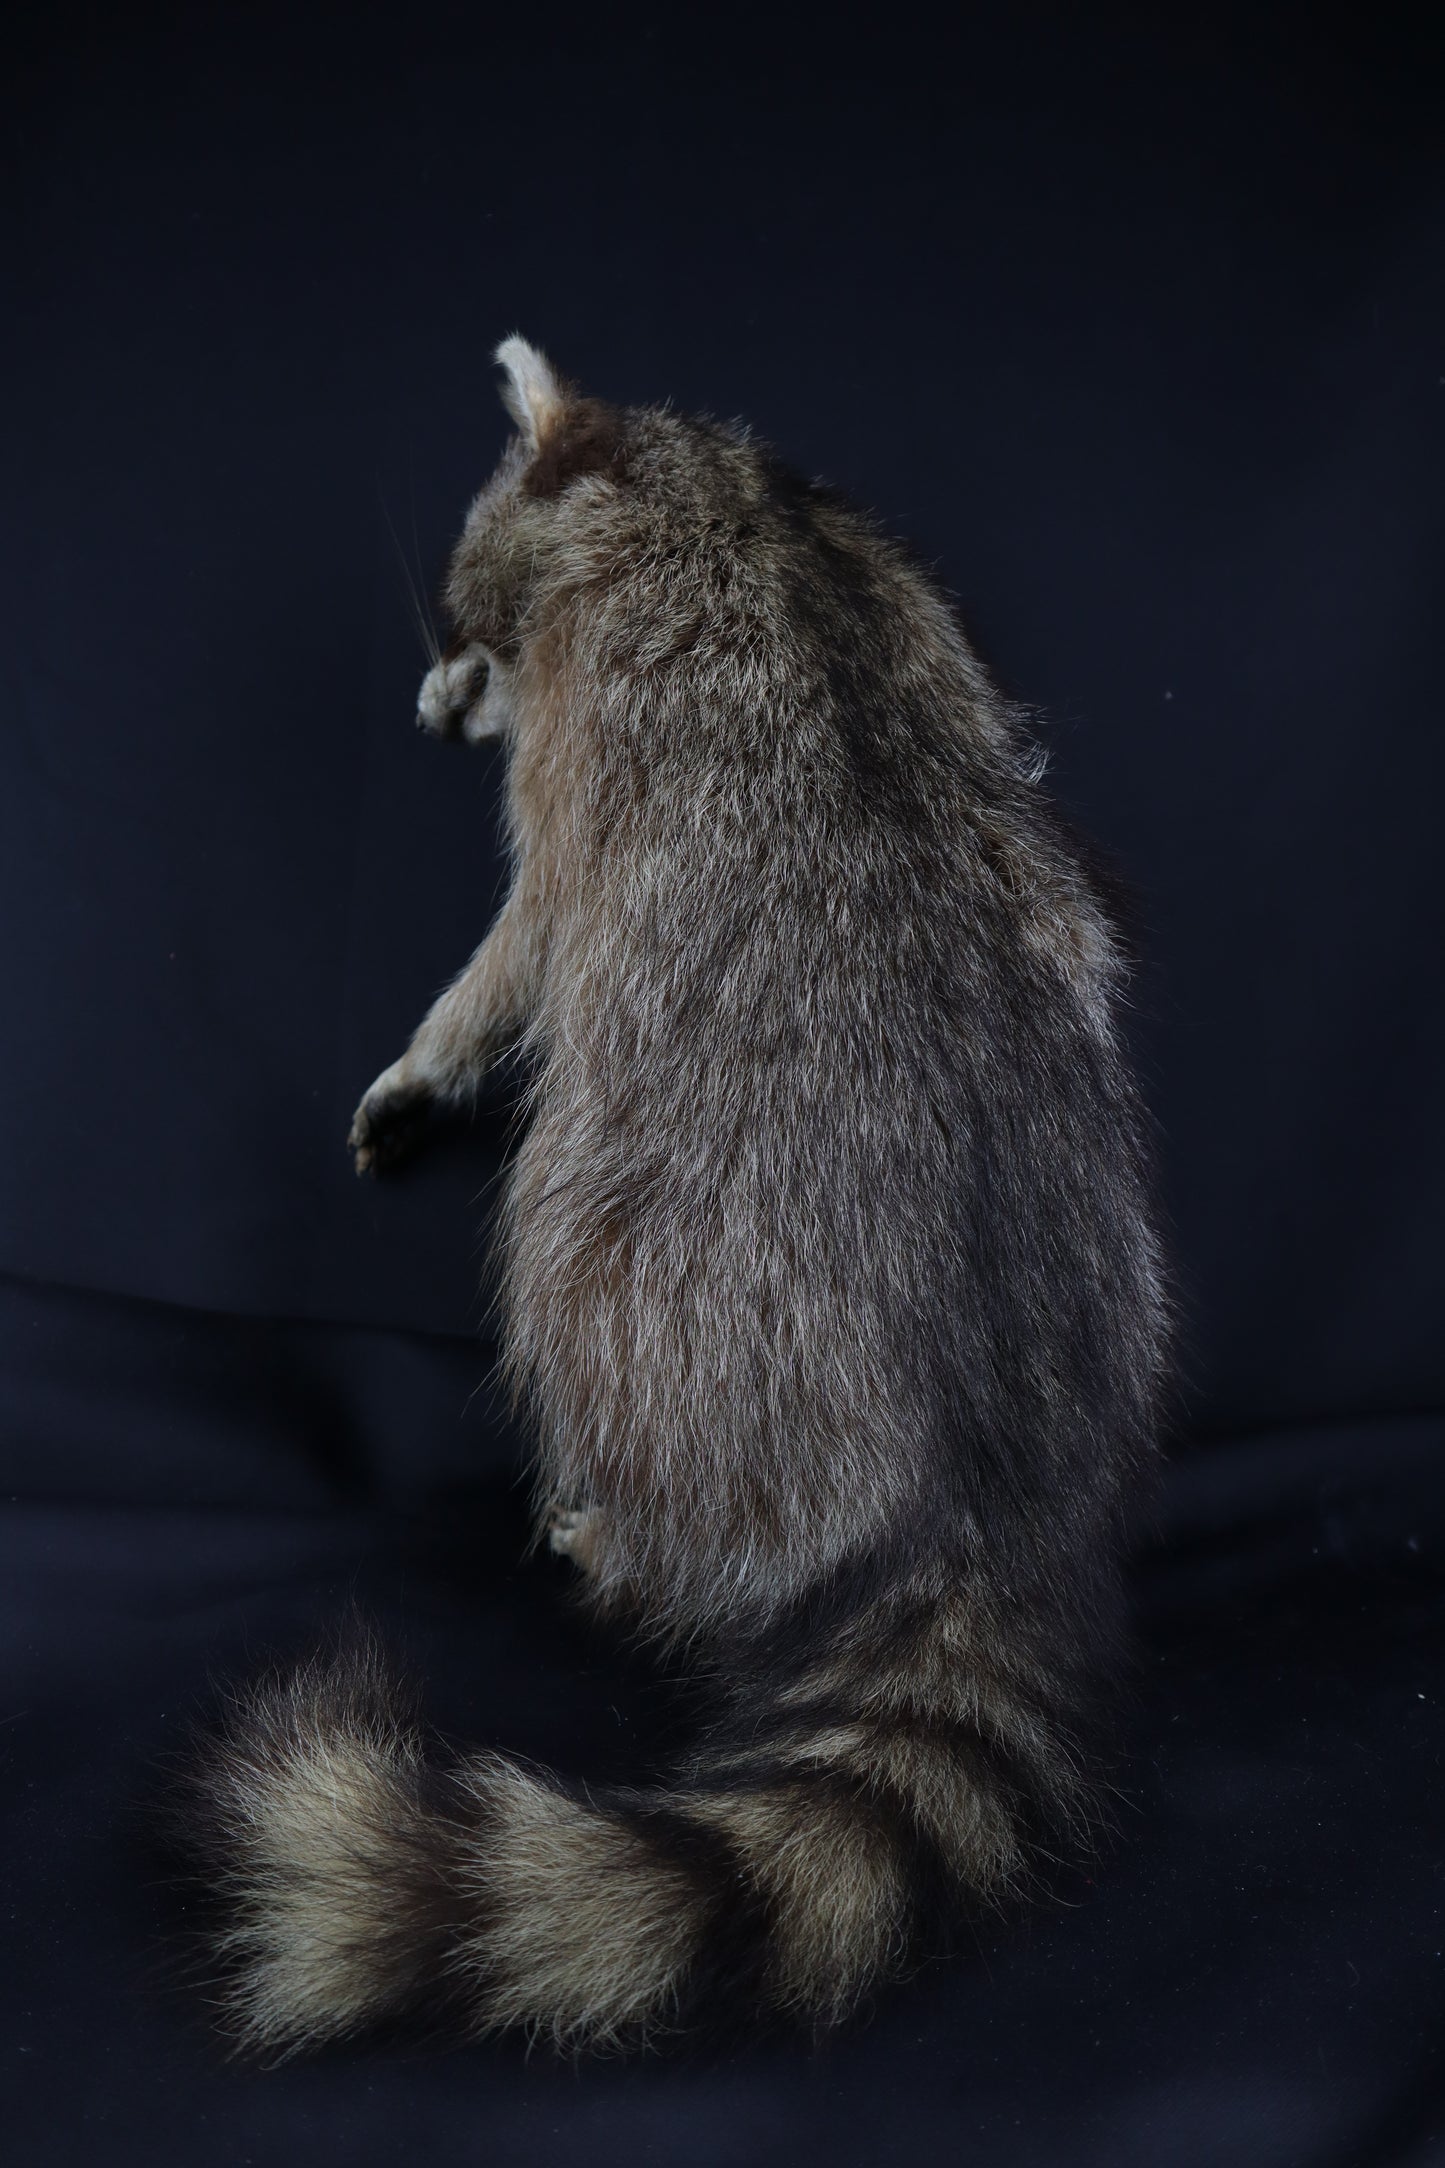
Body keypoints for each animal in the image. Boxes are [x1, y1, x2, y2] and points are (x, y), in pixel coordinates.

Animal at [195, 338, 1168, 2055]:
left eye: (465, 623)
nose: (428, 707)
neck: (702, 489)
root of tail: (992, 1485)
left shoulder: (587, 725)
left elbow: (532, 929)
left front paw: (440, 1045)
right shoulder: (896, 584)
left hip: (676, 1294)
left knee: (564, 1259)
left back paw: (620, 1542)